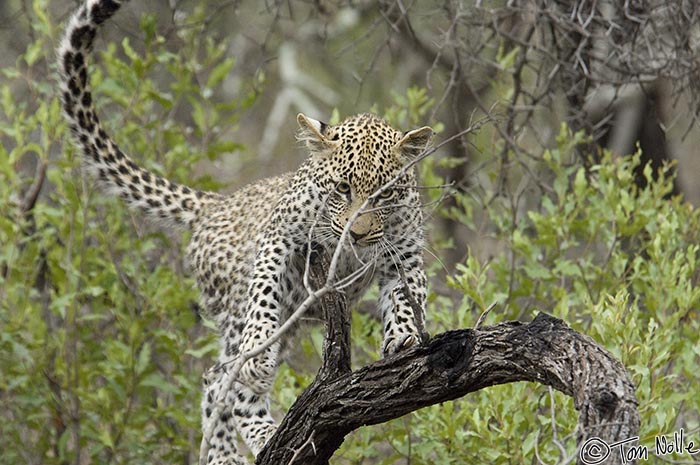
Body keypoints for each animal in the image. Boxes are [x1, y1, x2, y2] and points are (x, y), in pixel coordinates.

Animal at [58, 1, 432, 462]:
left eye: (383, 194)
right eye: (343, 189)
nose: (357, 235)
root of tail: (213, 204)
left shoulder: (405, 251)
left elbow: (406, 295)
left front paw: (403, 338)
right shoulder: (280, 236)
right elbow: (263, 293)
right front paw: (258, 357)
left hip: (294, 318)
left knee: (219, 379)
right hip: (242, 307)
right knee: (219, 377)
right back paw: (243, 442)